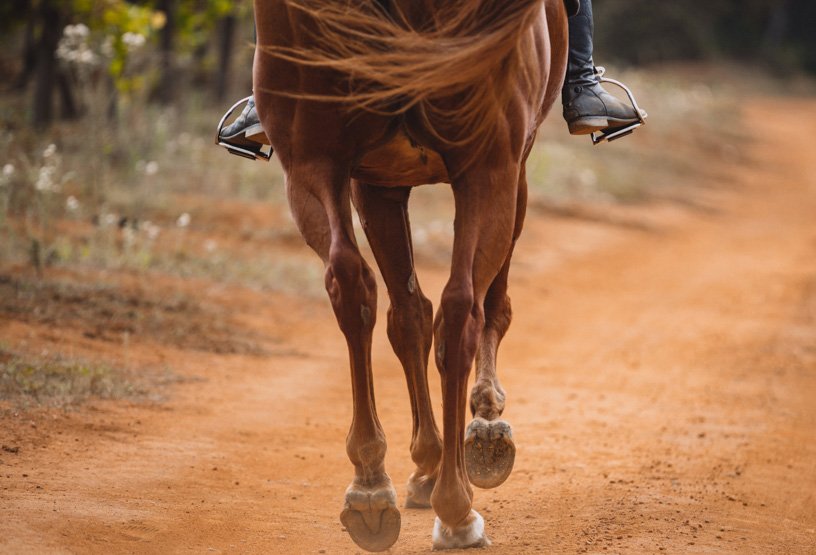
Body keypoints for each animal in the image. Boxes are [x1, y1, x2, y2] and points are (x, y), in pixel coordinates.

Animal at [252, 0, 572, 548]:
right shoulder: (503, 167)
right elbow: (445, 311)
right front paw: (479, 426)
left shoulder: (375, 180)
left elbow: (407, 315)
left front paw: (435, 457)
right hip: (483, 168)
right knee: (458, 308)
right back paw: (453, 508)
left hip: (315, 163)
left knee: (361, 287)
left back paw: (375, 489)